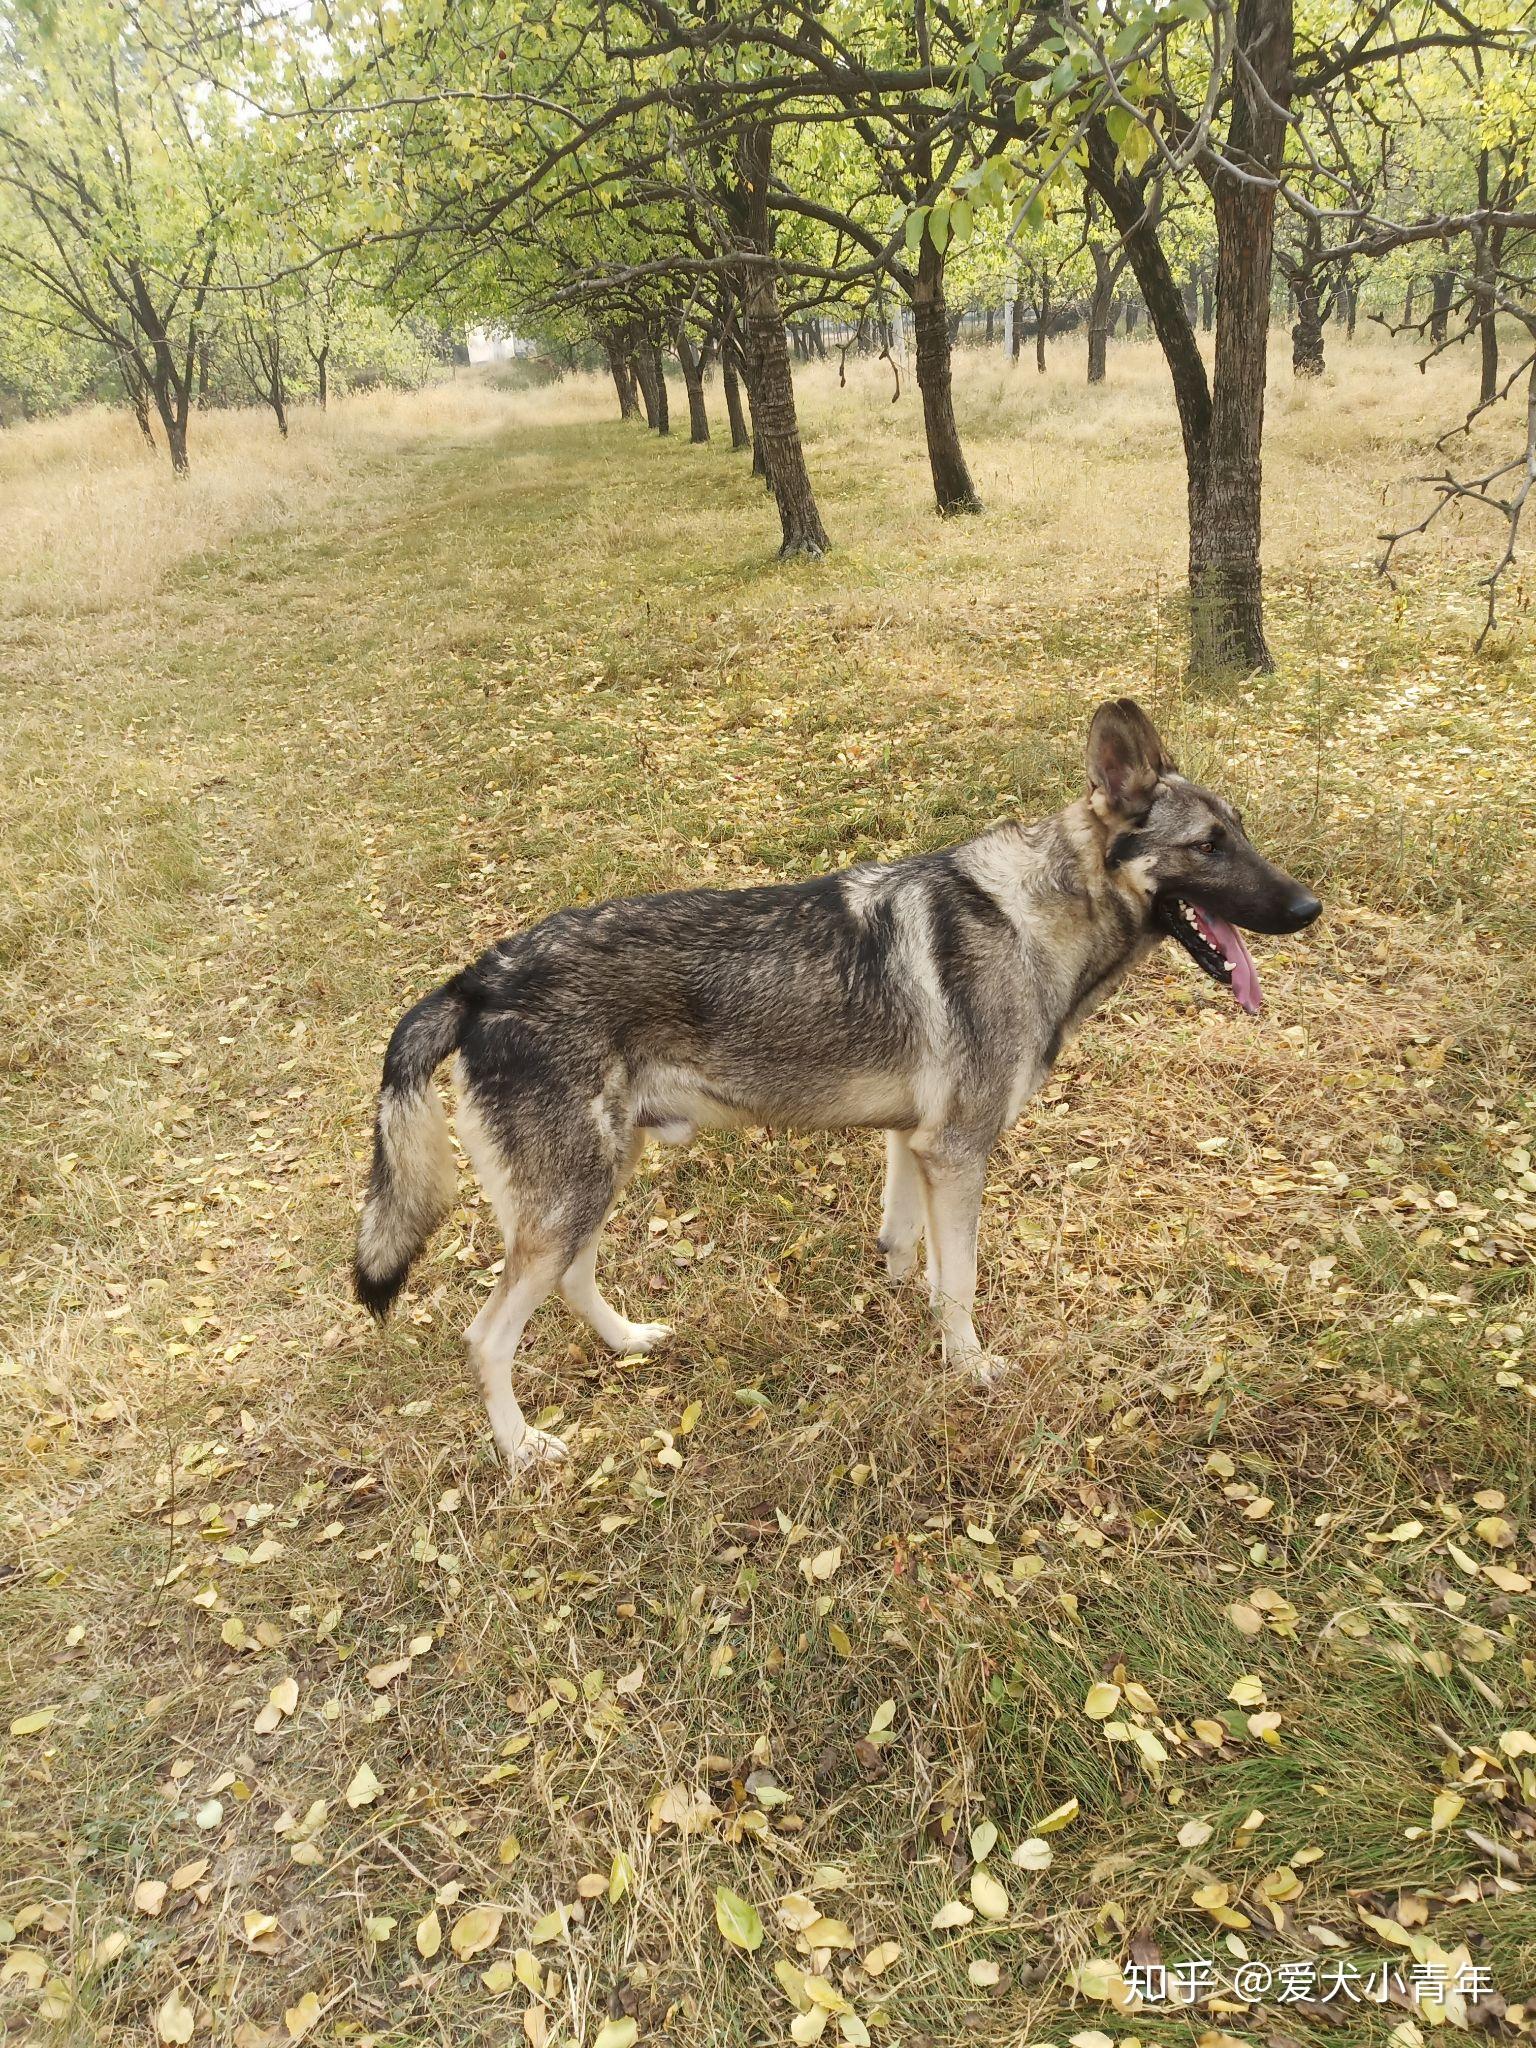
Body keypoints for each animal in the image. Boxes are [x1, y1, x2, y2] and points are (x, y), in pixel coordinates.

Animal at [352, 700, 1327, 1474]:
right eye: (1207, 846)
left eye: (1242, 831)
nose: (1310, 907)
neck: (1033, 916)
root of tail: (477, 980)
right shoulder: (958, 1155)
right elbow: (960, 1281)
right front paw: (969, 1367)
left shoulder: (912, 1145)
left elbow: (909, 1253)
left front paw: (906, 1319)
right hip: (572, 1198)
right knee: (486, 1338)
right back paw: (523, 1450)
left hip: (591, 1188)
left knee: (572, 1285)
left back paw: (629, 1342)